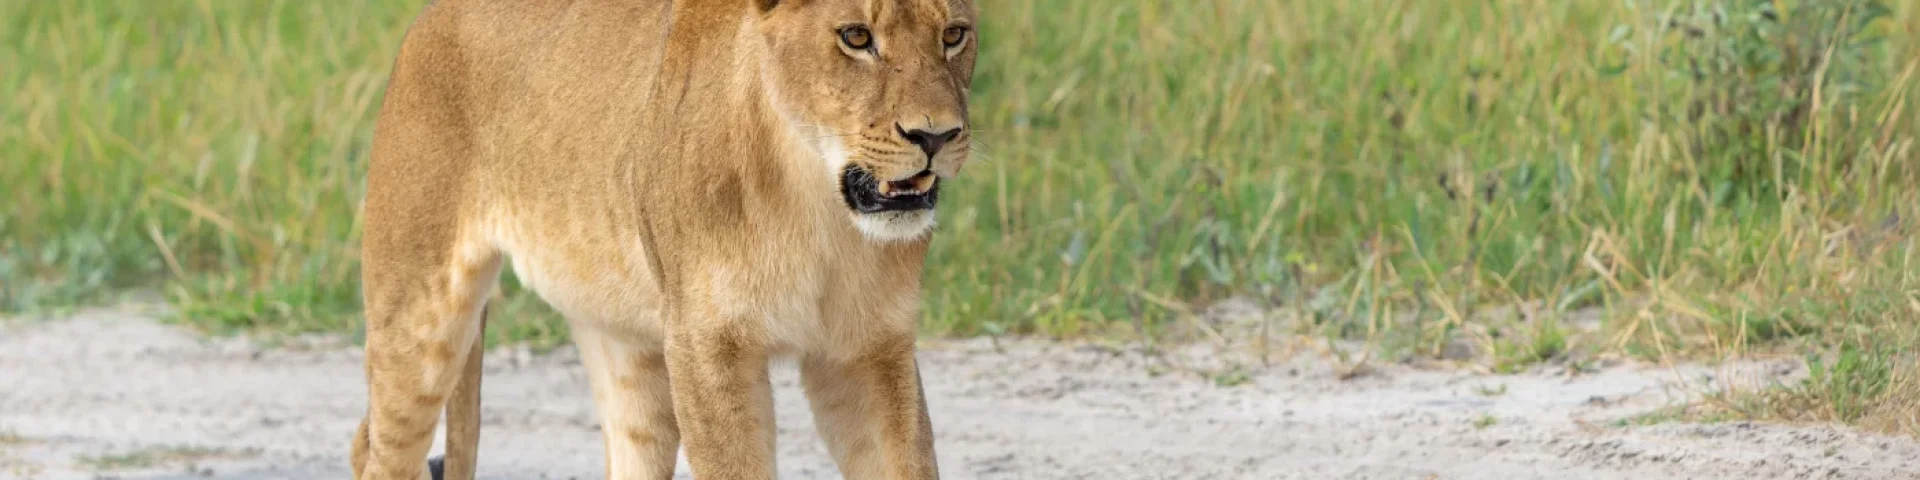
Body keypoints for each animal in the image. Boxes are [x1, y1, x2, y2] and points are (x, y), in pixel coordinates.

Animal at [347, 0, 977, 478]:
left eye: (953, 35)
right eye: (856, 37)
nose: (936, 136)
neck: (817, 209)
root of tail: (430, 16)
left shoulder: (869, 349)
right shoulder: (705, 346)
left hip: (620, 338)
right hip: (419, 314)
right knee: (376, 449)